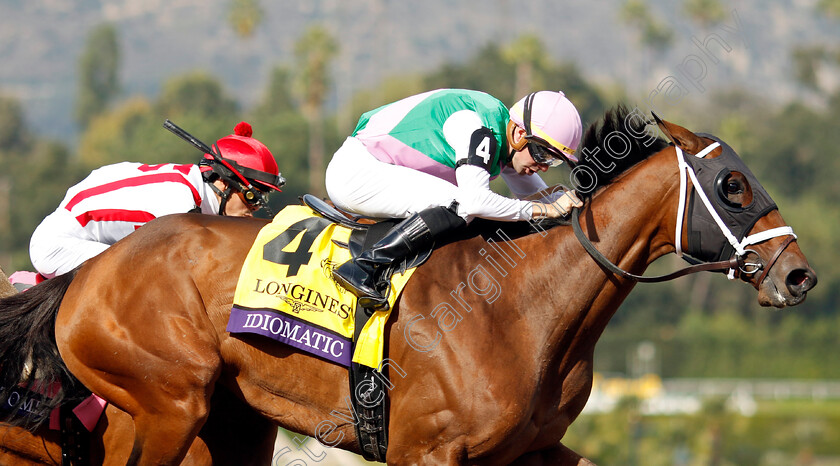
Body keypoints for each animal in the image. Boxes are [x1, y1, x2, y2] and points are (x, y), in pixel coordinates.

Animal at [0, 107, 812, 464]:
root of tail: (84, 275)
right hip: (170, 403)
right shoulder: (426, 453)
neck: (526, 308)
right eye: (733, 185)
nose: (799, 274)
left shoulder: (527, 454)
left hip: (231, 420)